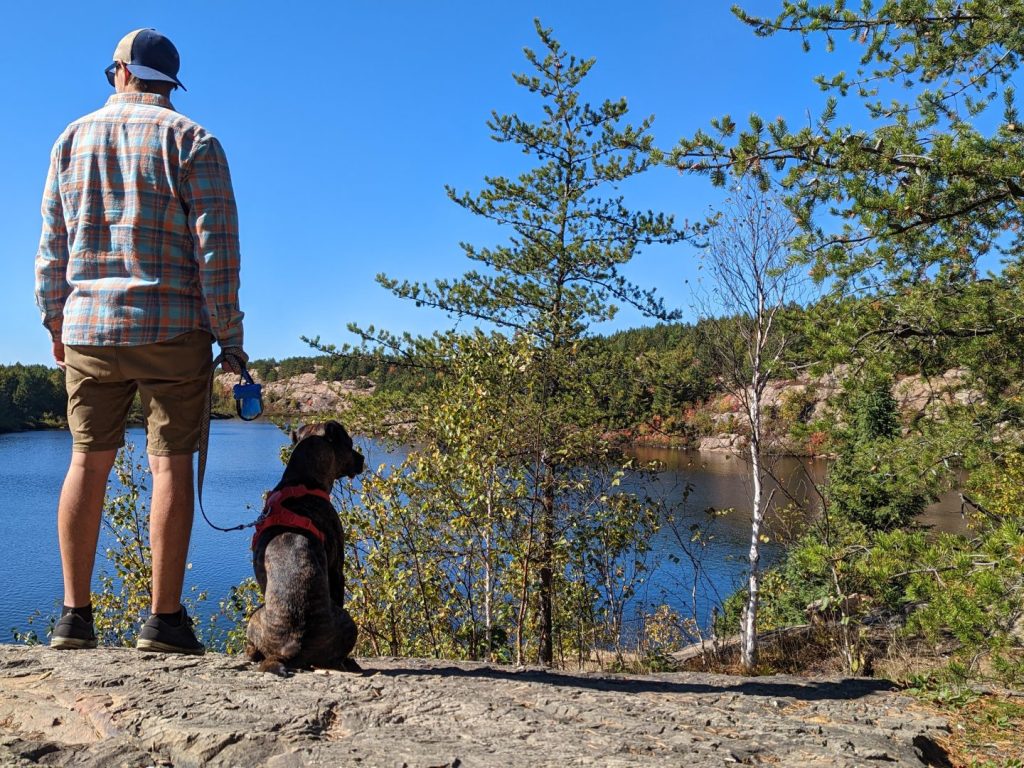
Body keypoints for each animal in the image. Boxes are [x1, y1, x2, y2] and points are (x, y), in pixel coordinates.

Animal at [244, 417, 364, 675]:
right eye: (349, 443)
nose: (361, 459)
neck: (301, 481)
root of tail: (292, 648)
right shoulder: (337, 571)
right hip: (347, 623)